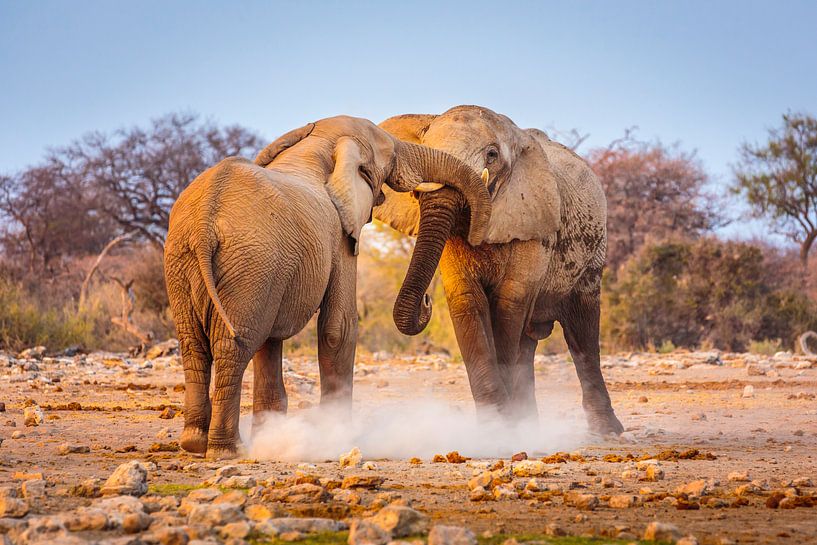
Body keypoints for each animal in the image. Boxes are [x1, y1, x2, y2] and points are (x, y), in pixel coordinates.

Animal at [164, 115, 492, 459]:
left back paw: (194, 444)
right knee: (233, 346)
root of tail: (204, 223)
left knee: (194, 346)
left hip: (188, 263)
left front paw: (273, 433)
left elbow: (271, 339)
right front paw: (338, 437)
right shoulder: (340, 235)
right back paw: (229, 451)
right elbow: (339, 327)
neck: (316, 145)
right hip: (247, 263)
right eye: (390, 154)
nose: (428, 301)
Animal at [375, 105, 624, 435]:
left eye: (491, 155)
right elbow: (467, 301)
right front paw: (493, 428)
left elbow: (508, 303)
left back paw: (606, 431)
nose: (426, 302)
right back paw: (530, 423)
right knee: (528, 342)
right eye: (424, 147)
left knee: (582, 332)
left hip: (593, 250)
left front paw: (504, 428)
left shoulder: (534, 224)